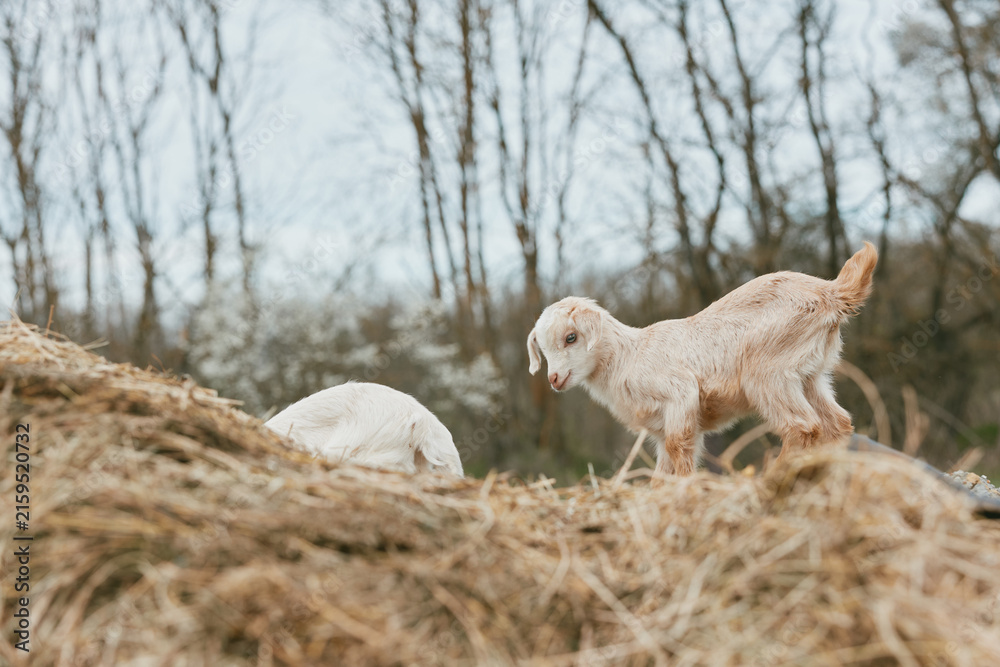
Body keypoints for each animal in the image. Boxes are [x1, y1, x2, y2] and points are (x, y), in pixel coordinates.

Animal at [527, 243, 878, 475]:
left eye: (571, 337)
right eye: (540, 348)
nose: (554, 379)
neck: (629, 355)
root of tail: (832, 294)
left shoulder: (680, 395)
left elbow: (679, 448)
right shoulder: (660, 427)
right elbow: (663, 469)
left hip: (768, 372)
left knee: (803, 427)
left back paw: (772, 477)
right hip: (811, 374)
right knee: (837, 424)